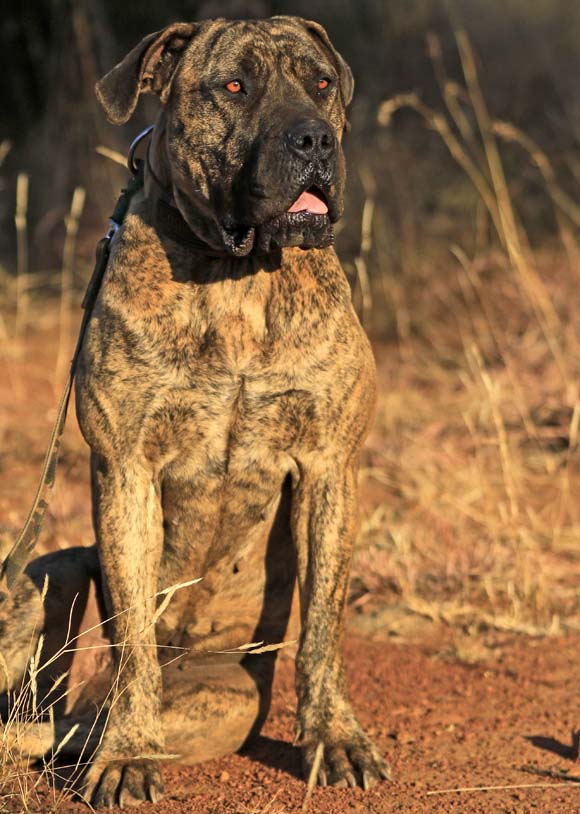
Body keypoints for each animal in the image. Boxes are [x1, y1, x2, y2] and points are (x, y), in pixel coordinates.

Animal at [1, 14, 390, 808]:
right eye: (234, 86)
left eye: (322, 83)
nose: (314, 139)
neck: (235, 277)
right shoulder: (125, 471)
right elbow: (134, 642)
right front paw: (129, 754)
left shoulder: (328, 468)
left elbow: (323, 632)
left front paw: (335, 738)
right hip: (42, 570)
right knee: (51, 710)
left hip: (226, 697)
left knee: (61, 726)